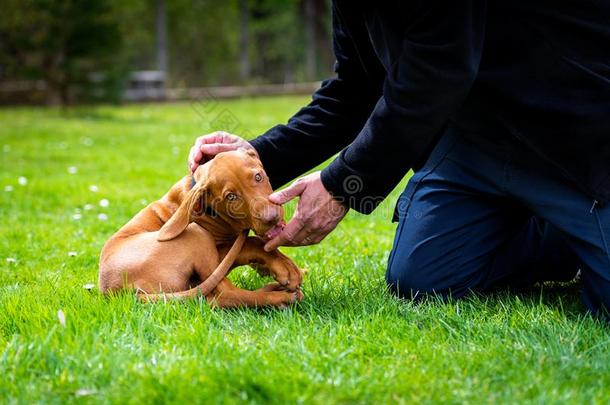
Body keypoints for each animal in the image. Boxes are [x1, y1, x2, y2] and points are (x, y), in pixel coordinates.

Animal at [99, 149, 304, 306]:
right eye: (231, 197)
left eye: (258, 177)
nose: (271, 218)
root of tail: (116, 291)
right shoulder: (220, 249)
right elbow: (252, 242)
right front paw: (285, 267)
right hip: (196, 234)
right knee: (224, 294)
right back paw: (280, 297)